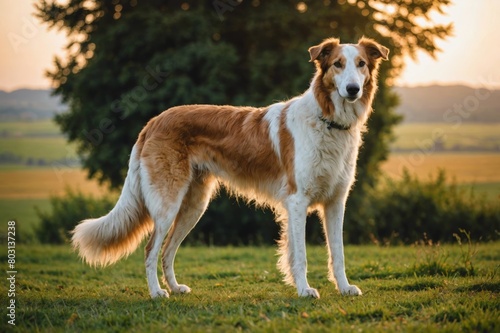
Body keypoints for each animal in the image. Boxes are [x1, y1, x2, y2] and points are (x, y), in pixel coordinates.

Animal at [72, 37, 388, 298]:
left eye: (361, 64)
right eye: (337, 64)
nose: (352, 89)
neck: (329, 121)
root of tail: (154, 121)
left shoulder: (335, 202)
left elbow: (338, 254)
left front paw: (345, 288)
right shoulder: (297, 201)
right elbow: (300, 256)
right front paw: (304, 290)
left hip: (193, 206)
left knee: (167, 251)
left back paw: (175, 288)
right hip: (167, 205)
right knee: (151, 250)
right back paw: (157, 293)